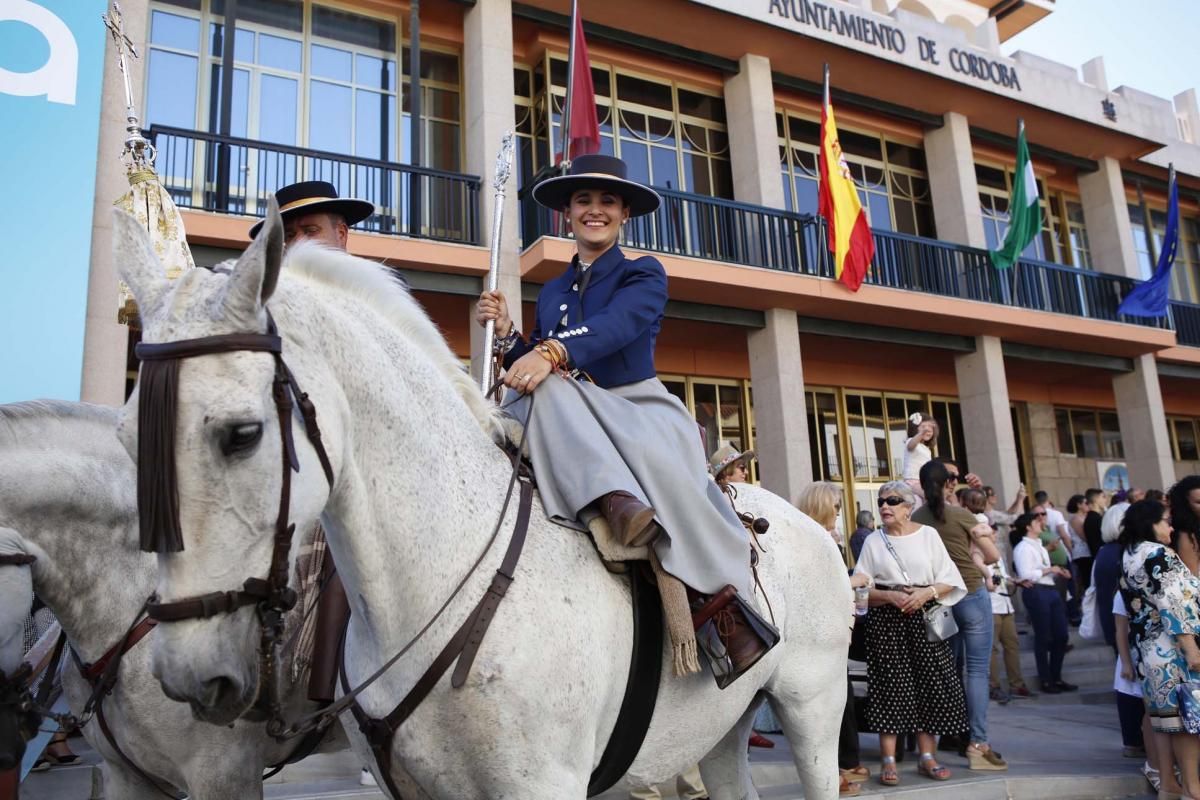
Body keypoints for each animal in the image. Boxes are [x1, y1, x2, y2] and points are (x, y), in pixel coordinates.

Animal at [110, 206, 844, 800]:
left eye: (243, 434)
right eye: (127, 438)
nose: (185, 675)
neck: (443, 573)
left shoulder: (544, 784)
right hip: (723, 728)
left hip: (813, 707)